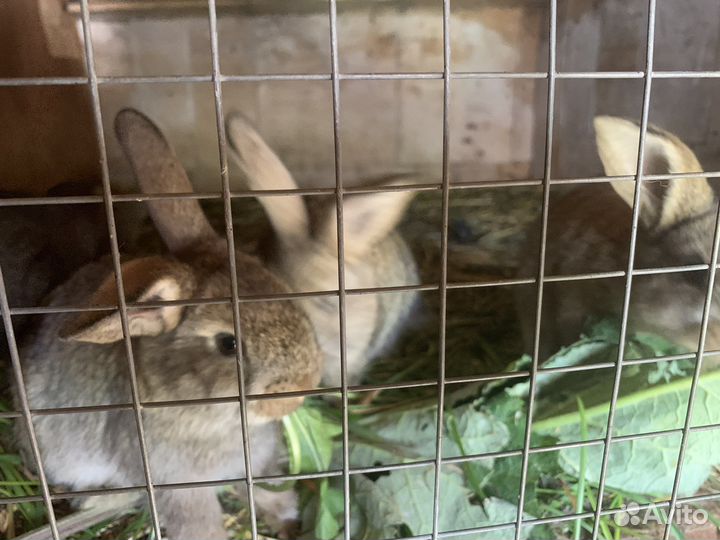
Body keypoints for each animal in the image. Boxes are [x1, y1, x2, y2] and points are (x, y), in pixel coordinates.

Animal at [15, 108, 322, 540]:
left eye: (286, 292)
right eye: (227, 344)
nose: (296, 394)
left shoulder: (257, 462)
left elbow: (264, 490)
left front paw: (286, 515)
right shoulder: (178, 486)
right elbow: (200, 524)